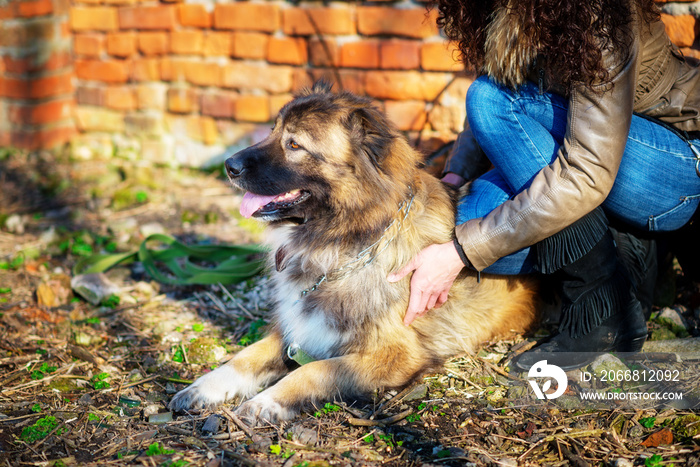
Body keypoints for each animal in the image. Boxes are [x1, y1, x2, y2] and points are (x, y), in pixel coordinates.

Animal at [168, 80, 536, 424]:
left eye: (294, 144)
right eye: (272, 132)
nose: (229, 165)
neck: (349, 245)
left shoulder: (393, 355)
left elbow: (312, 370)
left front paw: (264, 403)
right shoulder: (293, 330)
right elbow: (242, 357)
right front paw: (200, 388)